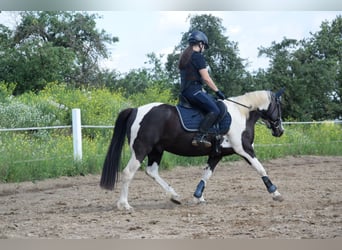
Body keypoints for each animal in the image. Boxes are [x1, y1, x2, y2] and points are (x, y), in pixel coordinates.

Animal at [100, 89, 284, 210]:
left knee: (151, 171)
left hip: (156, 150)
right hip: (141, 149)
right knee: (128, 173)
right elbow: (260, 168)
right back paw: (124, 205)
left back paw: (174, 196)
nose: (280, 131)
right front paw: (275, 193)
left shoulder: (216, 154)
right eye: (279, 106)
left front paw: (198, 197)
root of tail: (135, 110)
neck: (241, 114)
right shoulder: (244, 149)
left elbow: (206, 175)